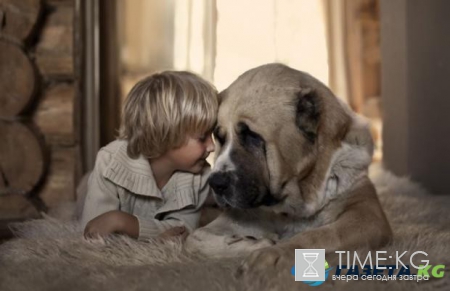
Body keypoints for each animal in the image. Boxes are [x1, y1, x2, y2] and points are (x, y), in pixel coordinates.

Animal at [185, 63, 392, 276]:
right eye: (220, 137)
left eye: (252, 136)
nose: (216, 183)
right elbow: (193, 239)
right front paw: (258, 243)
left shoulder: (368, 215)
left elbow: (318, 235)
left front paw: (272, 253)